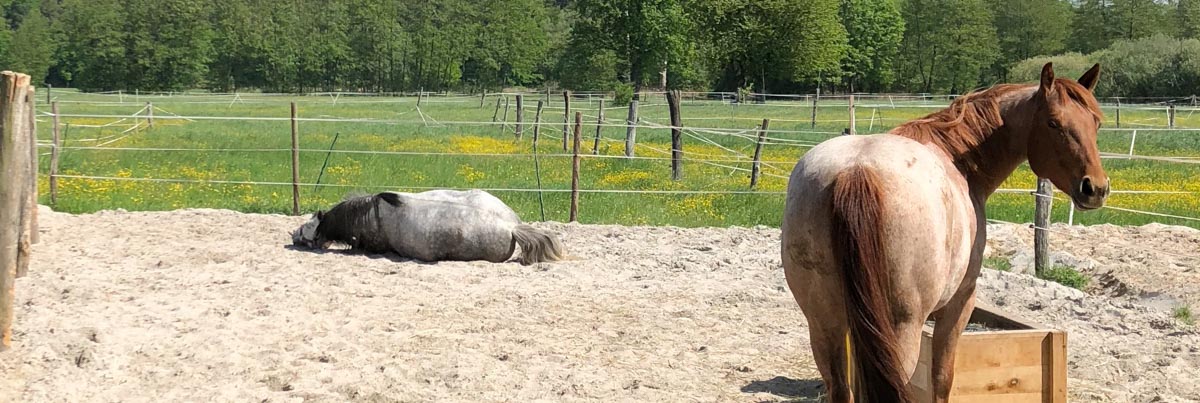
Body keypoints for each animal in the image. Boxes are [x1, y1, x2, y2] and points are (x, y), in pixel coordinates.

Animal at [782, 62, 1108, 400]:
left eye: (1096, 122)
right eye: (1053, 123)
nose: (1096, 188)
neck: (958, 160)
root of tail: (857, 170)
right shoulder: (959, 304)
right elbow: (942, 378)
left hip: (824, 322)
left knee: (840, 387)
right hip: (901, 330)